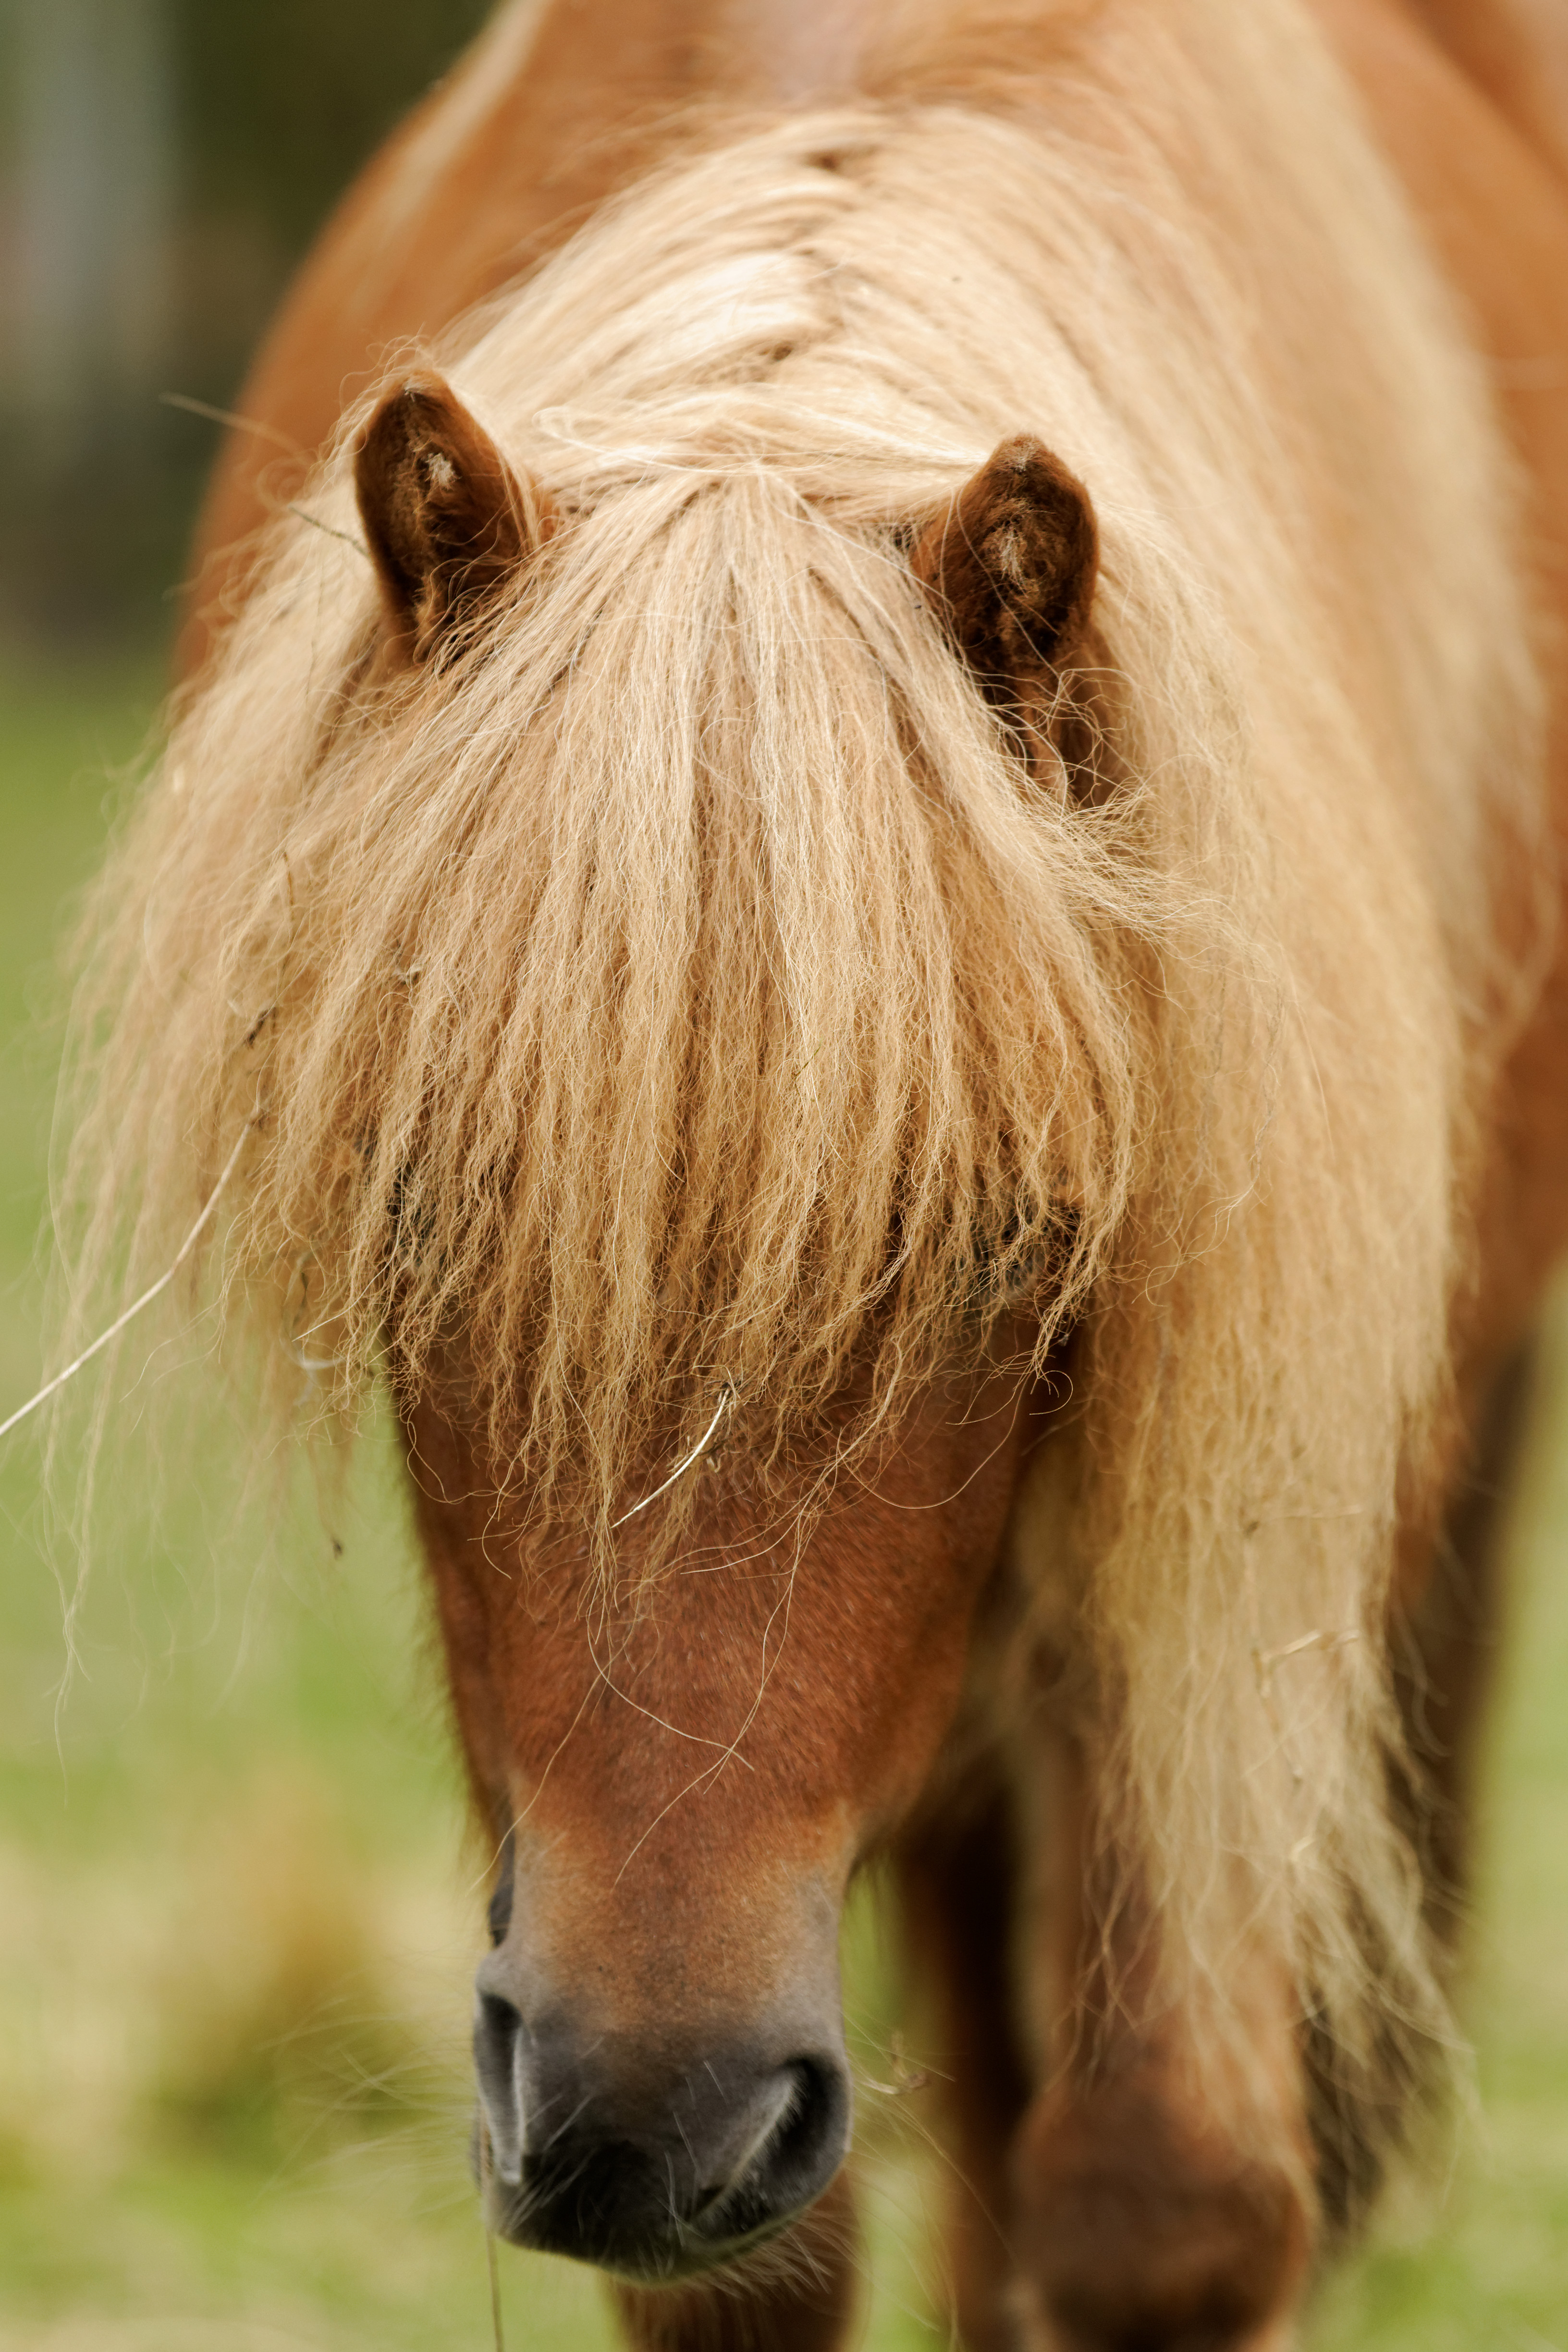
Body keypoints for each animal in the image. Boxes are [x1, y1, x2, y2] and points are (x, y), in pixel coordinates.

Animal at [61, 4, 1568, 2352]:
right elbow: (769, 2274)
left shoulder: (1230, 1577)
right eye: (416, 1207)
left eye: (1020, 1242)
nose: (646, 2111)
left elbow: (1165, 2200)